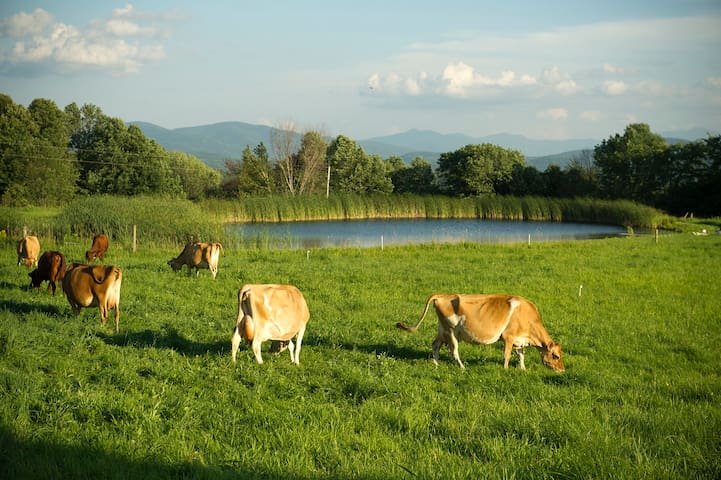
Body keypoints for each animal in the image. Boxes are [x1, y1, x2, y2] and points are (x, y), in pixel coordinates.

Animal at [400, 292, 564, 372]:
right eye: (556, 356)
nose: (562, 370)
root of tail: (442, 295)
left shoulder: (519, 339)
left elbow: (521, 354)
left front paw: (523, 369)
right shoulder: (508, 337)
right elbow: (507, 355)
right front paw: (505, 370)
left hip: (442, 330)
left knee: (435, 345)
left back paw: (436, 364)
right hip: (451, 331)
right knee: (454, 351)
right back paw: (462, 367)